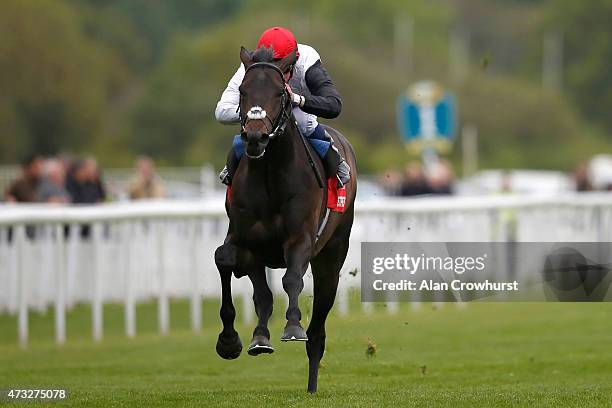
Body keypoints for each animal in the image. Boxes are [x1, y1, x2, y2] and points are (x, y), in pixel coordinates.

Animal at [215, 45, 356, 392]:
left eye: (280, 92)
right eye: (242, 90)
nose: (255, 136)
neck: (270, 176)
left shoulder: (301, 238)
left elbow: (291, 279)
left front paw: (292, 326)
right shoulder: (245, 241)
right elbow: (226, 261)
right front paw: (230, 341)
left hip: (332, 255)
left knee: (318, 327)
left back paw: (312, 382)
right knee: (262, 296)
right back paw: (259, 337)